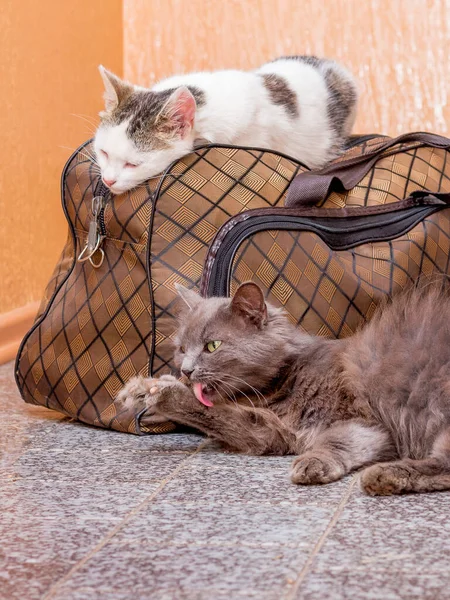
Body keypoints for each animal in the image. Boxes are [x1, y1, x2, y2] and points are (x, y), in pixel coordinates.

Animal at [118, 278, 450, 496]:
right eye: (182, 349)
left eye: (212, 346)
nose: (186, 370)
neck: (285, 379)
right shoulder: (271, 432)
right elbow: (220, 416)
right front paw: (141, 390)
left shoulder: (364, 422)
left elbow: (336, 441)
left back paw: (383, 475)